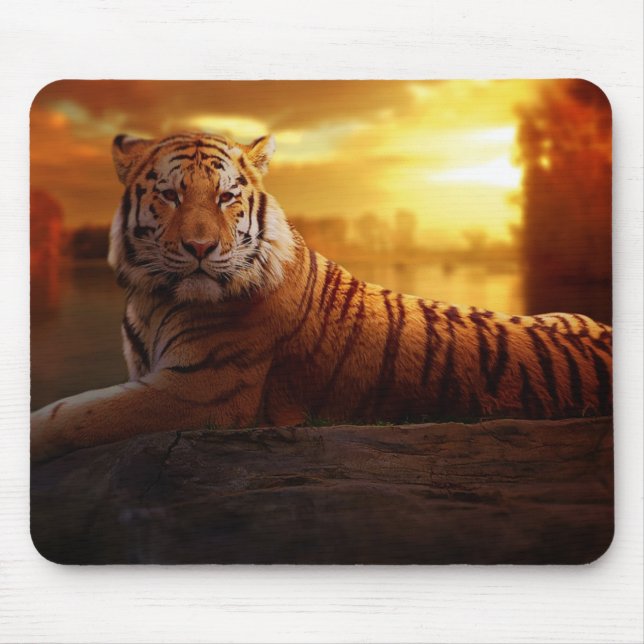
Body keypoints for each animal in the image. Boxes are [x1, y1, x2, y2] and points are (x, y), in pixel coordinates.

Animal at [30, 131, 613, 462]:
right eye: (170, 195)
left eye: (226, 197)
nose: (200, 248)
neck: (152, 299)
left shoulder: (200, 391)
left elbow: (74, 413)